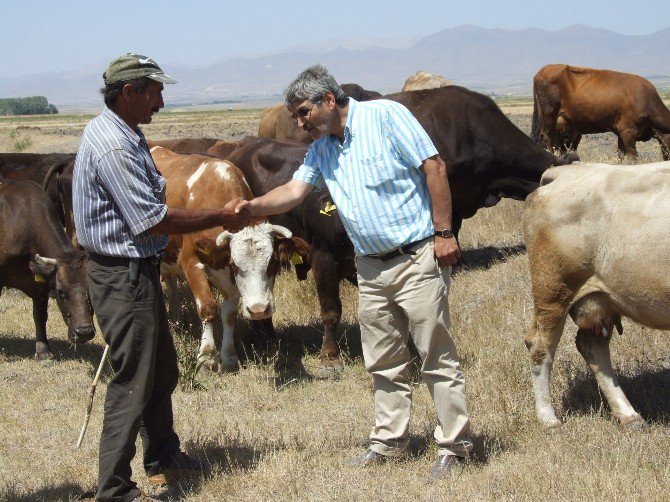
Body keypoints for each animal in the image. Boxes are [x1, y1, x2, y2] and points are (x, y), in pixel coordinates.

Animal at [0, 178, 96, 358]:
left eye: (91, 292)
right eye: (61, 292)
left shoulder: (41, 284)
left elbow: (40, 315)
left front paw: (43, 351)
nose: (84, 332)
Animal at [151, 147, 312, 370]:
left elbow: (229, 314)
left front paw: (229, 357)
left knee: (171, 283)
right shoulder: (190, 262)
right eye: (236, 264)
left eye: (273, 263)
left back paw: (175, 321)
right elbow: (208, 306)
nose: (259, 310)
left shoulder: (228, 277)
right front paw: (207, 357)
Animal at [524, 162, 670, 432]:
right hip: (553, 290)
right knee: (540, 348)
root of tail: (565, 171)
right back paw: (548, 418)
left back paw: (629, 415)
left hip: (600, 298)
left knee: (591, 344)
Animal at [532, 63, 670, 159]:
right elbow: (633, 157)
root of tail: (544, 69)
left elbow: (621, 155)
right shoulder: (628, 131)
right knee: (550, 139)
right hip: (550, 115)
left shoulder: (620, 133)